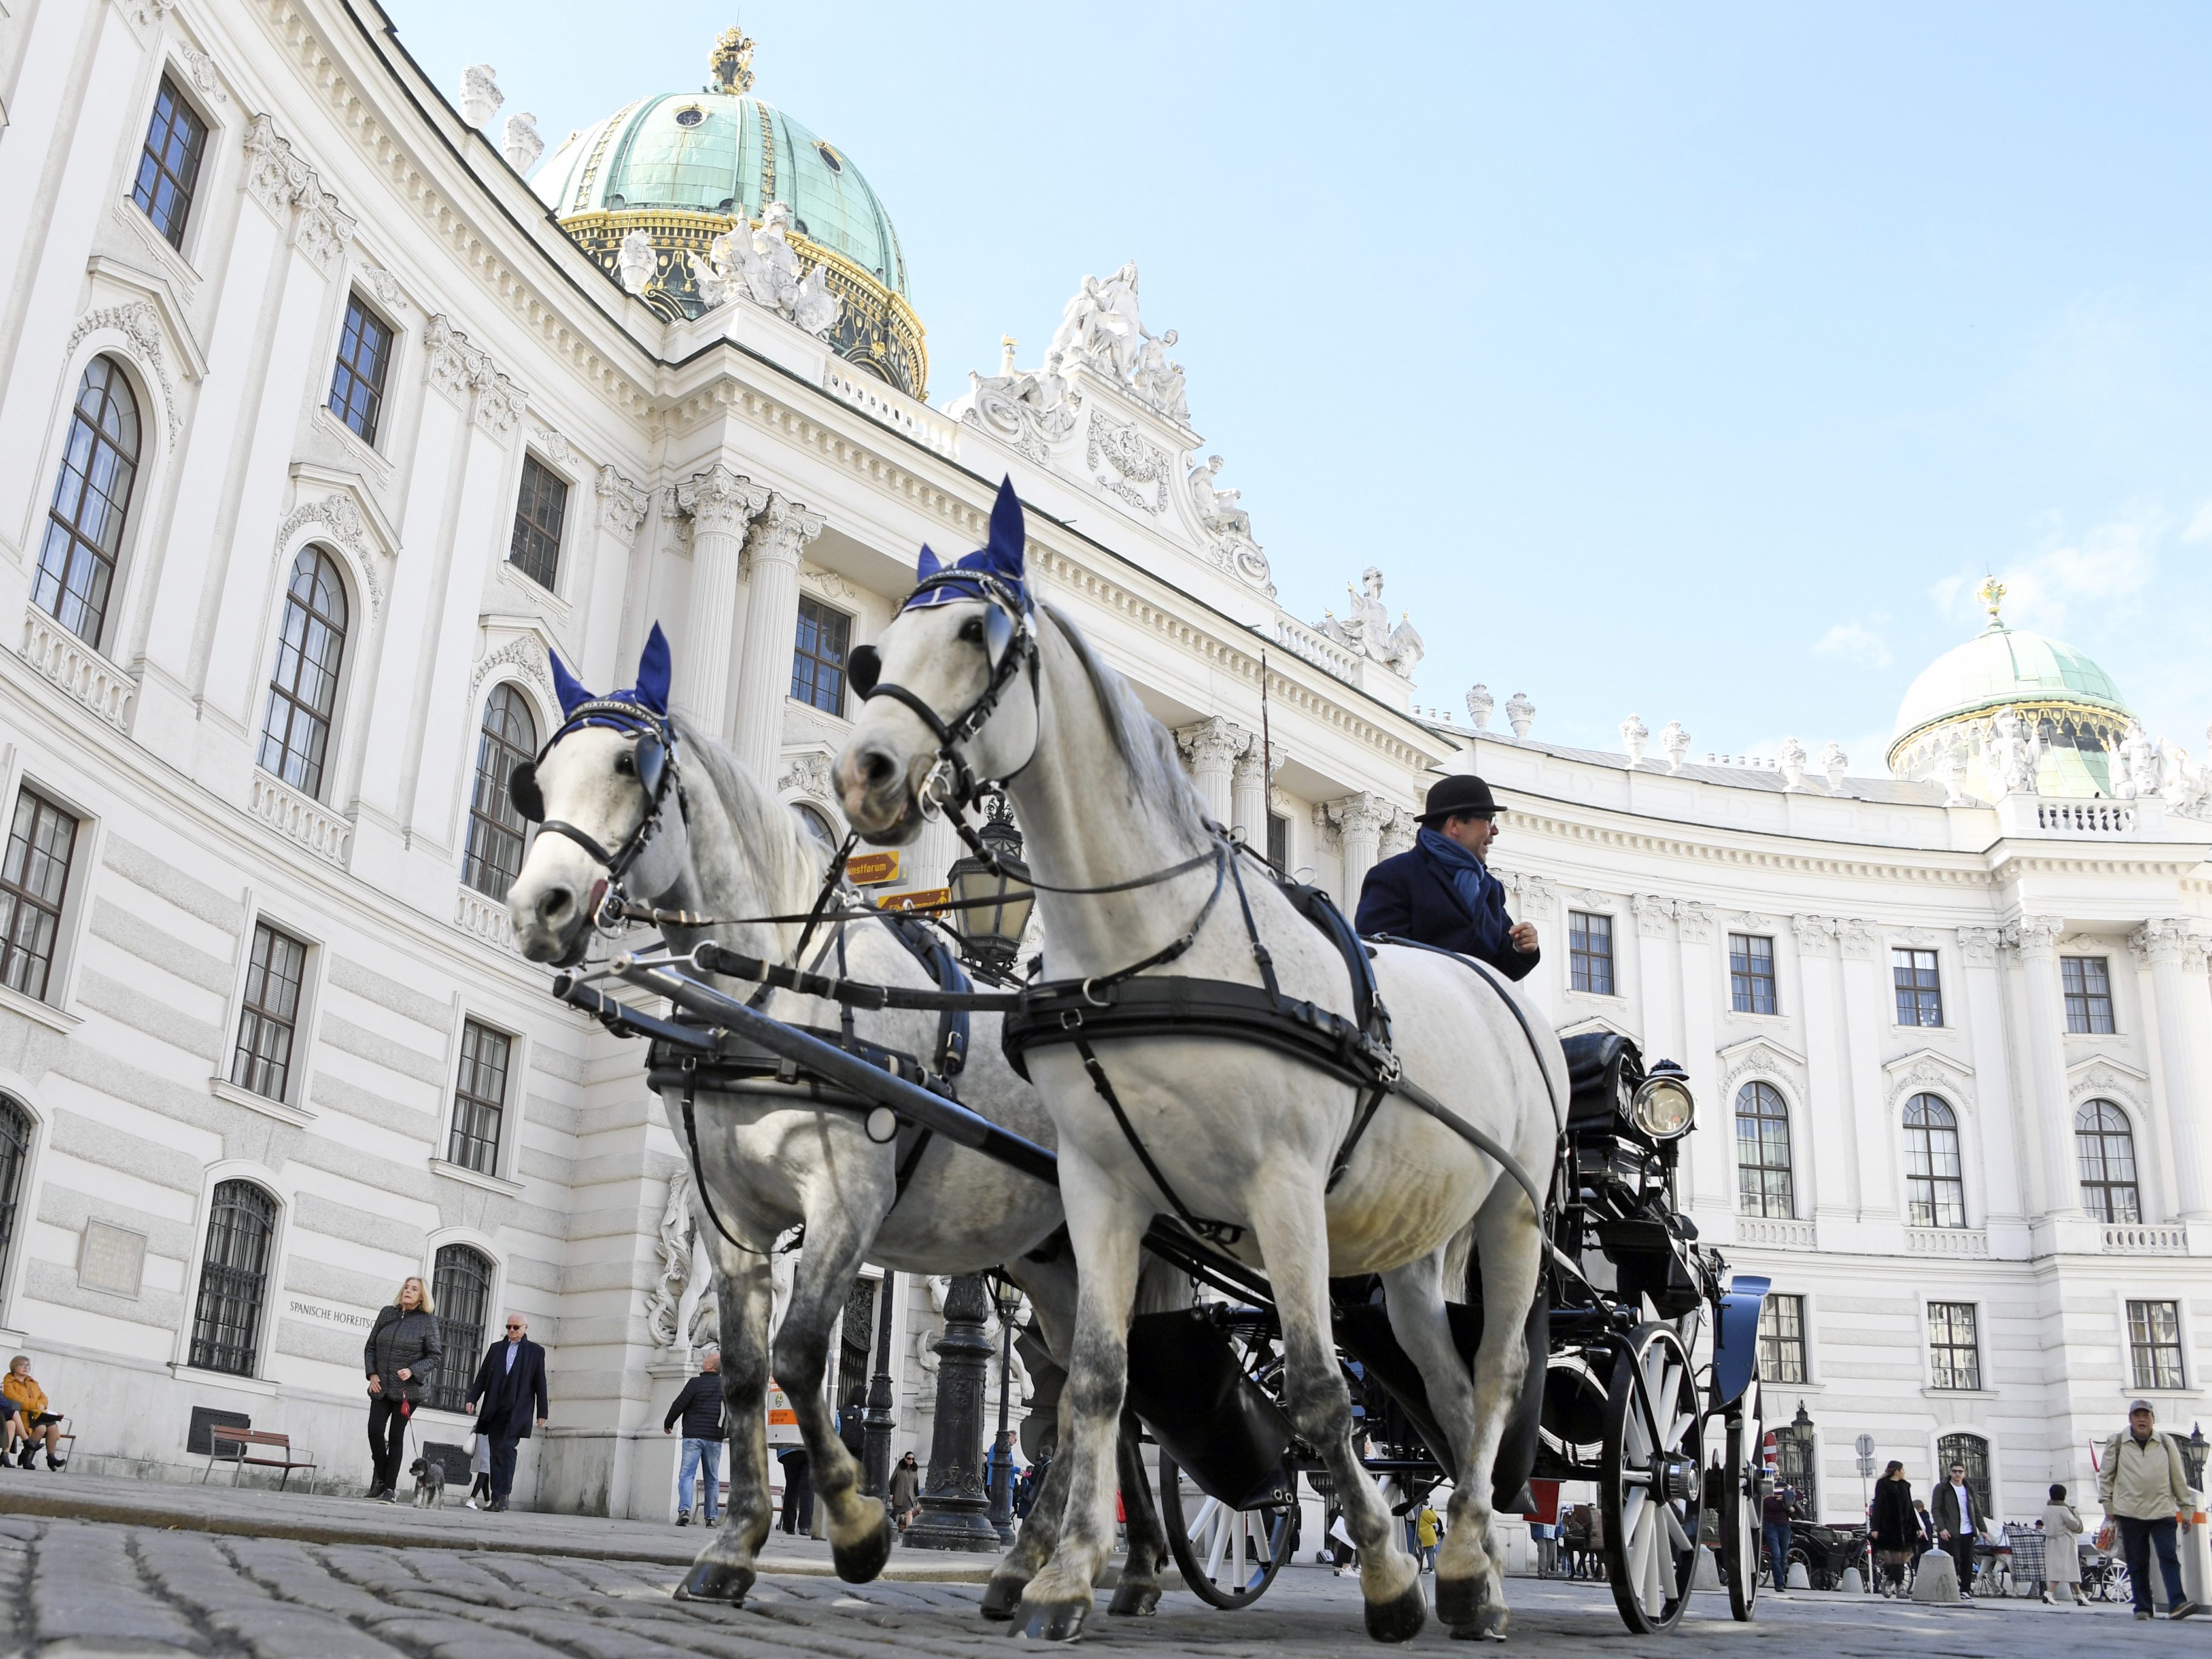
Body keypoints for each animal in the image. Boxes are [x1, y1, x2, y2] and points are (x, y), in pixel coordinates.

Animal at [506, 628, 1176, 1619]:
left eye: (632, 764)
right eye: (538, 781)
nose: (537, 909)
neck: (772, 997)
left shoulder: (846, 1198)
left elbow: (799, 1353)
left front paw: (859, 1529)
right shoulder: (726, 1215)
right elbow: (744, 1372)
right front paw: (735, 1544)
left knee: (1118, 1394)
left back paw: (1108, 1568)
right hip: (1048, 1261)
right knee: (1083, 1393)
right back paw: (1048, 1565)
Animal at [832, 486, 1575, 1646]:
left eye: (973, 635)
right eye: (872, 656)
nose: (863, 773)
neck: (1156, 945)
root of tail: (1493, 979)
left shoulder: (1284, 1190)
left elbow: (1315, 1389)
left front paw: (1384, 1575)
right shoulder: (1101, 1189)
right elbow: (1099, 1383)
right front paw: (1059, 1580)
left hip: (1514, 1210)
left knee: (1495, 1374)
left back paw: (1459, 1565)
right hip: (1414, 1241)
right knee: (1447, 1389)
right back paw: (1474, 1564)